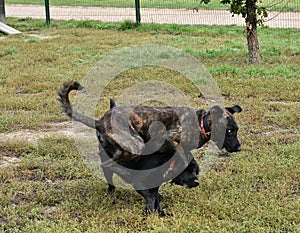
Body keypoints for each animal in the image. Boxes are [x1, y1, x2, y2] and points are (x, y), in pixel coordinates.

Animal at [58, 81, 241, 216]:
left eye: (236, 130)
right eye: (229, 131)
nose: (239, 148)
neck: (201, 123)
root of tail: (99, 121)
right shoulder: (170, 139)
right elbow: (181, 157)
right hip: (135, 145)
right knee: (109, 164)